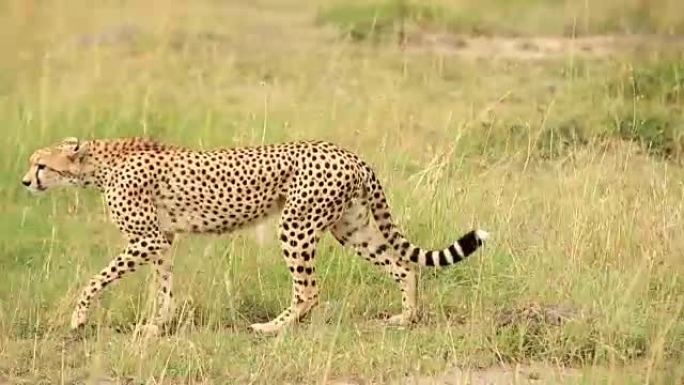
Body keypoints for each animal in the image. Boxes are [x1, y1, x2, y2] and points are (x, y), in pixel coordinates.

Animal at [21, 136, 488, 332]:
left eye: (40, 164)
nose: (25, 182)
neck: (99, 164)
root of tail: (349, 153)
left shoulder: (146, 240)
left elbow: (94, 280)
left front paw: (79, 318)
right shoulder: (162, 240)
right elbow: (164, 285)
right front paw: (157, 326)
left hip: (296, 225)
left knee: (309, 290)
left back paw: (271, 328)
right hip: (349, 226)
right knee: (403, 267)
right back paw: (405, 317)